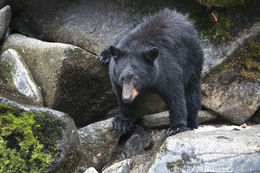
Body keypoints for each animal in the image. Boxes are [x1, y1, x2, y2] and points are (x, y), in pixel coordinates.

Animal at [99, 8, 203, 136]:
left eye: (135, 78)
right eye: (122, 78)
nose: (127, 98)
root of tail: (183, 17)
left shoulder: (166, 70)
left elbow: (175, 96)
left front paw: (177, 127)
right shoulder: (114, 76)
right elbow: (119, 94)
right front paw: (122, 122)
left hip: (194, 59)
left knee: (192, 92)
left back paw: (192, 122)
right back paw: (105, 54)